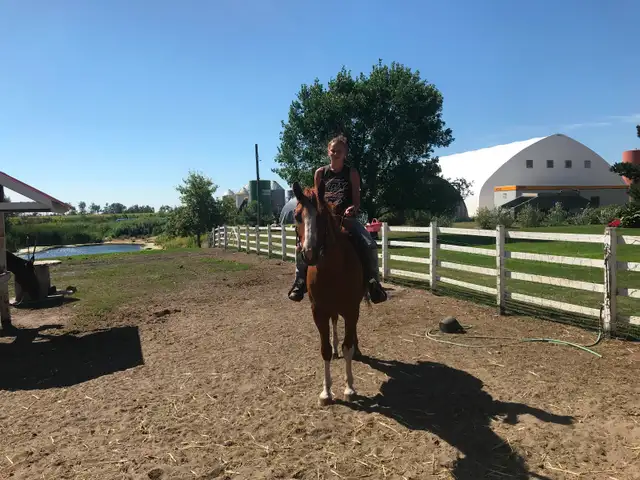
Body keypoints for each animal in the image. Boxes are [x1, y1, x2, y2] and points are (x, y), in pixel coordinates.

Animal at [292, 180, 368, 406]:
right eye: (296, 215)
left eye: (322, 215)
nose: (309, 254)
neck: (333, 268)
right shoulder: (319, 311)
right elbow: (324, 349)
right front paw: (326, 392)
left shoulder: (351, 309)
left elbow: (348, 346)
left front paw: (350, 388)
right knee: (334, 324)